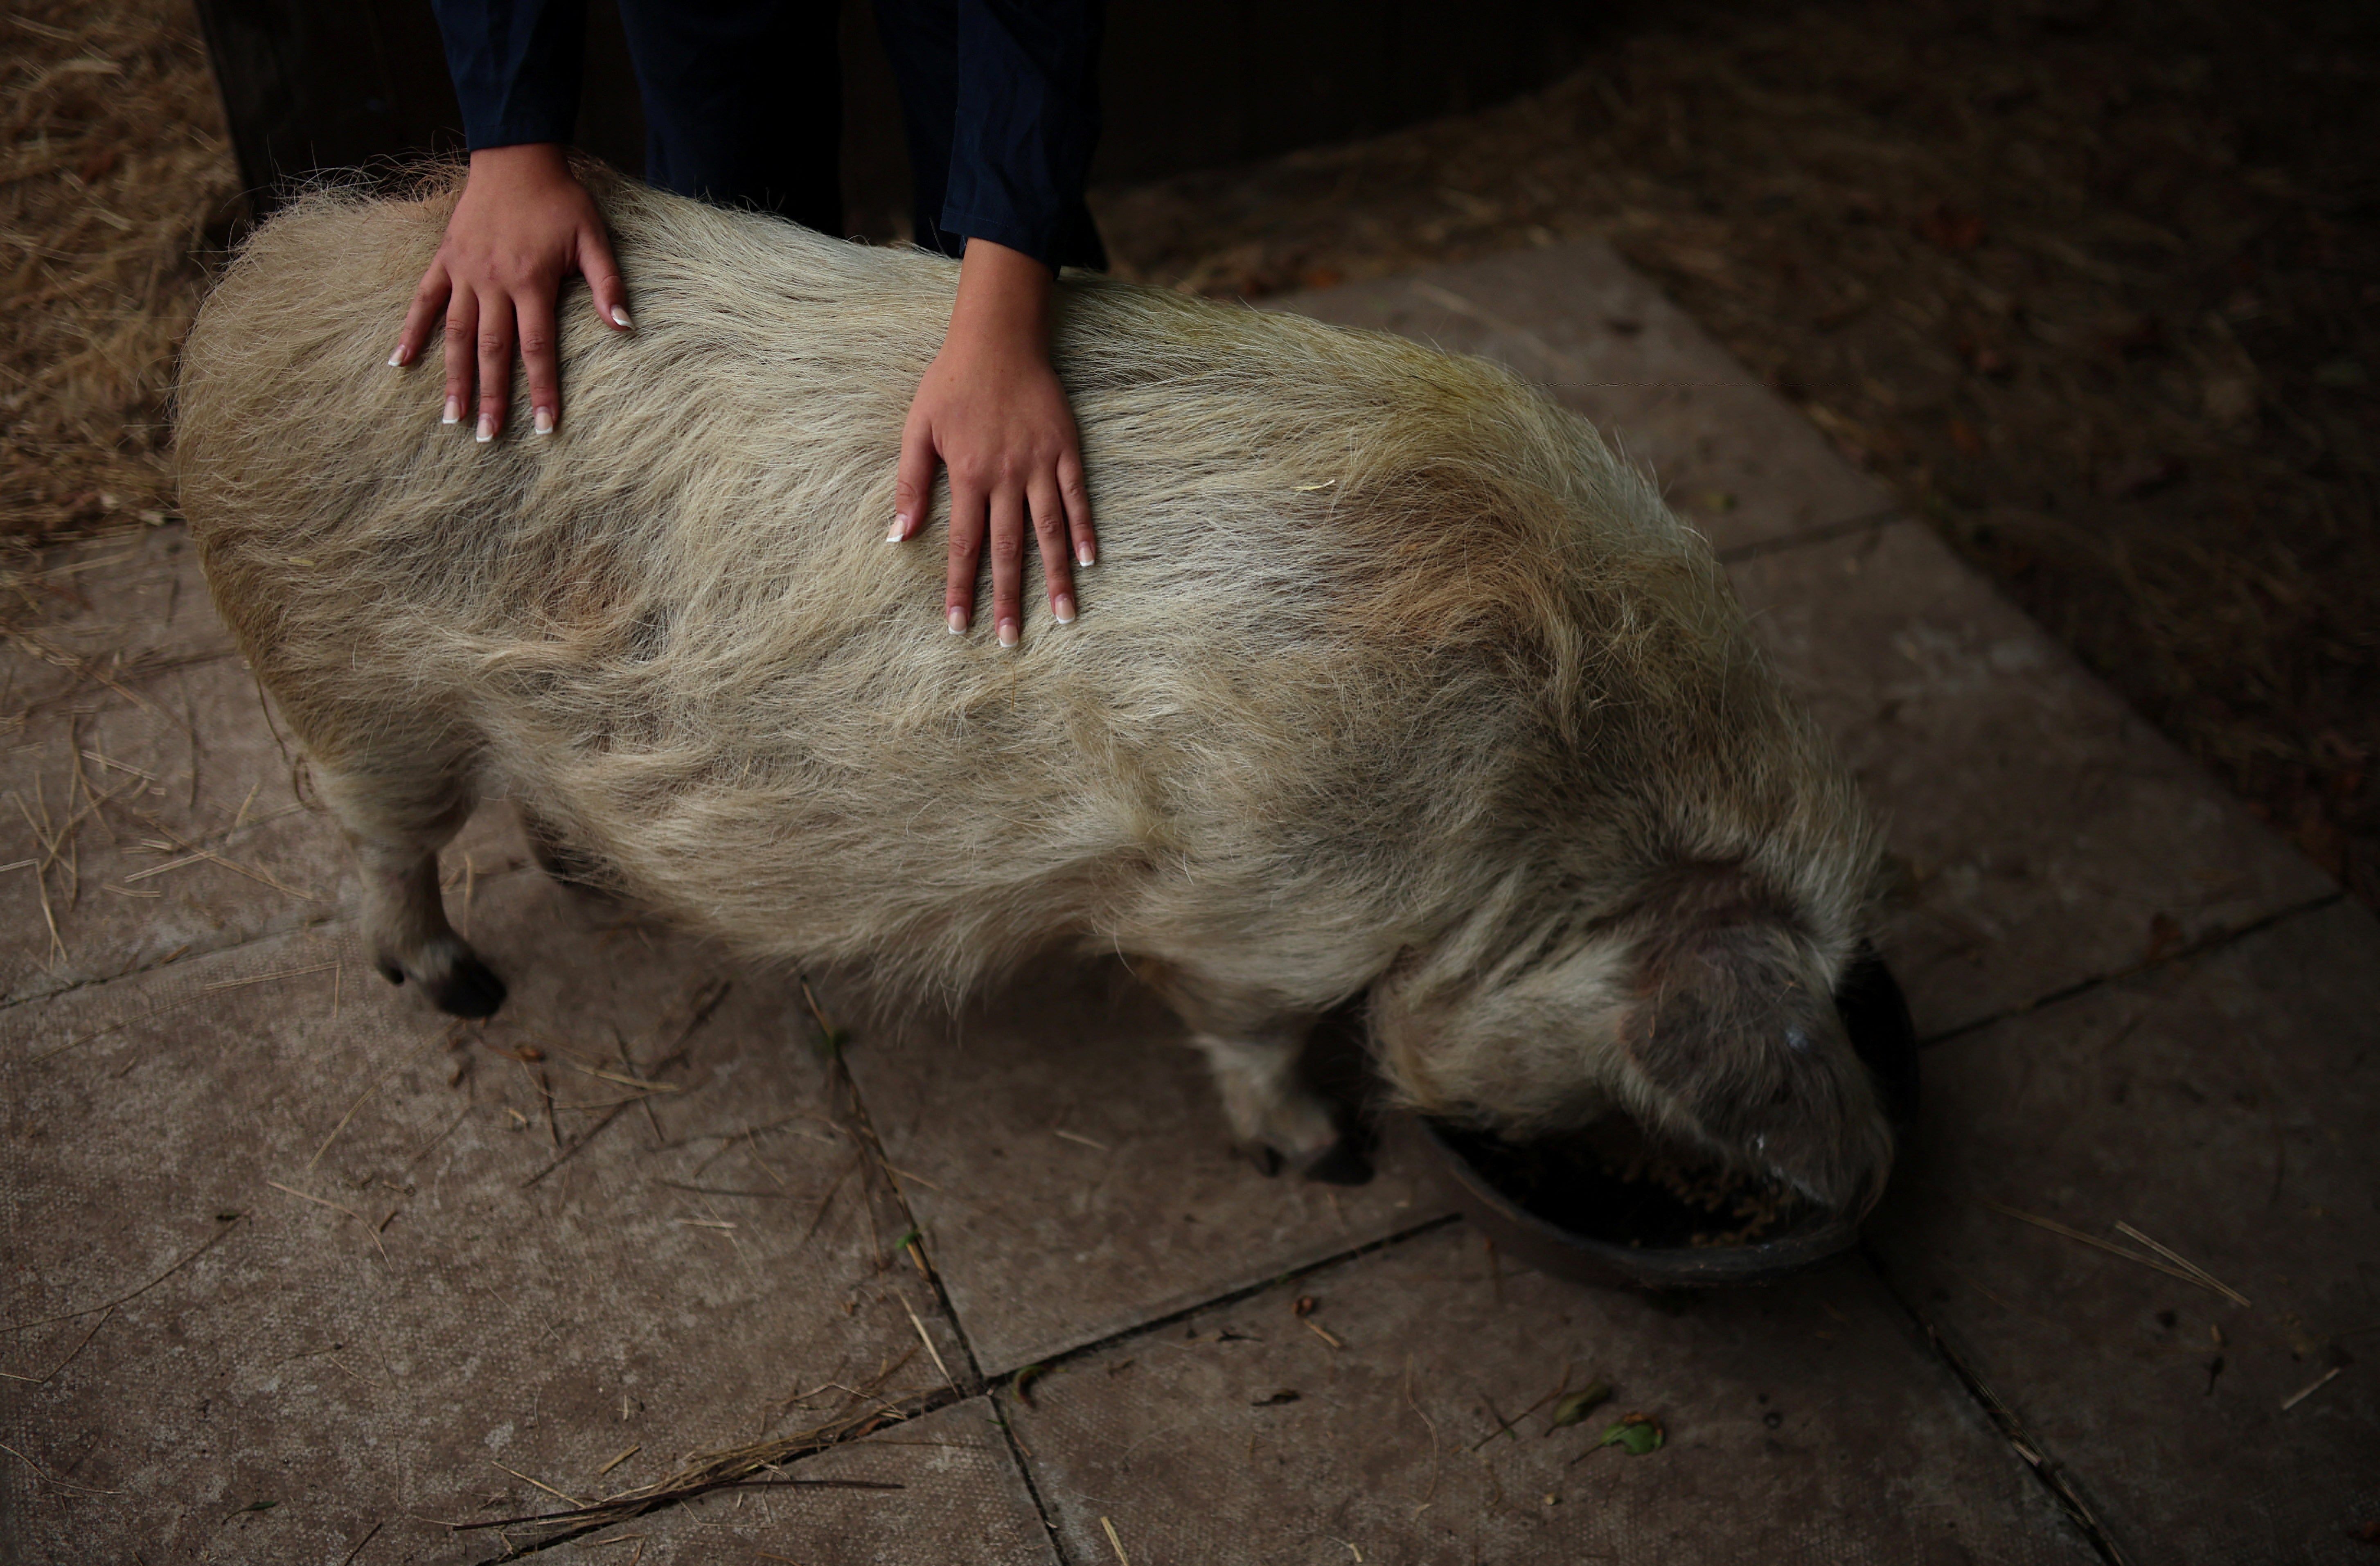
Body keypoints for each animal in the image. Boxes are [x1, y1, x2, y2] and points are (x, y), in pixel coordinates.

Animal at [176, 168, 1894, 1194]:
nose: (1846, 1173)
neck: (1537, 797)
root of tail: (254, 286)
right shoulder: (1254, 896)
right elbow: (1252, 1028)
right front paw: (1318, 1157)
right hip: (356, 675)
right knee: (384, 848)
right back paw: (458, 983)